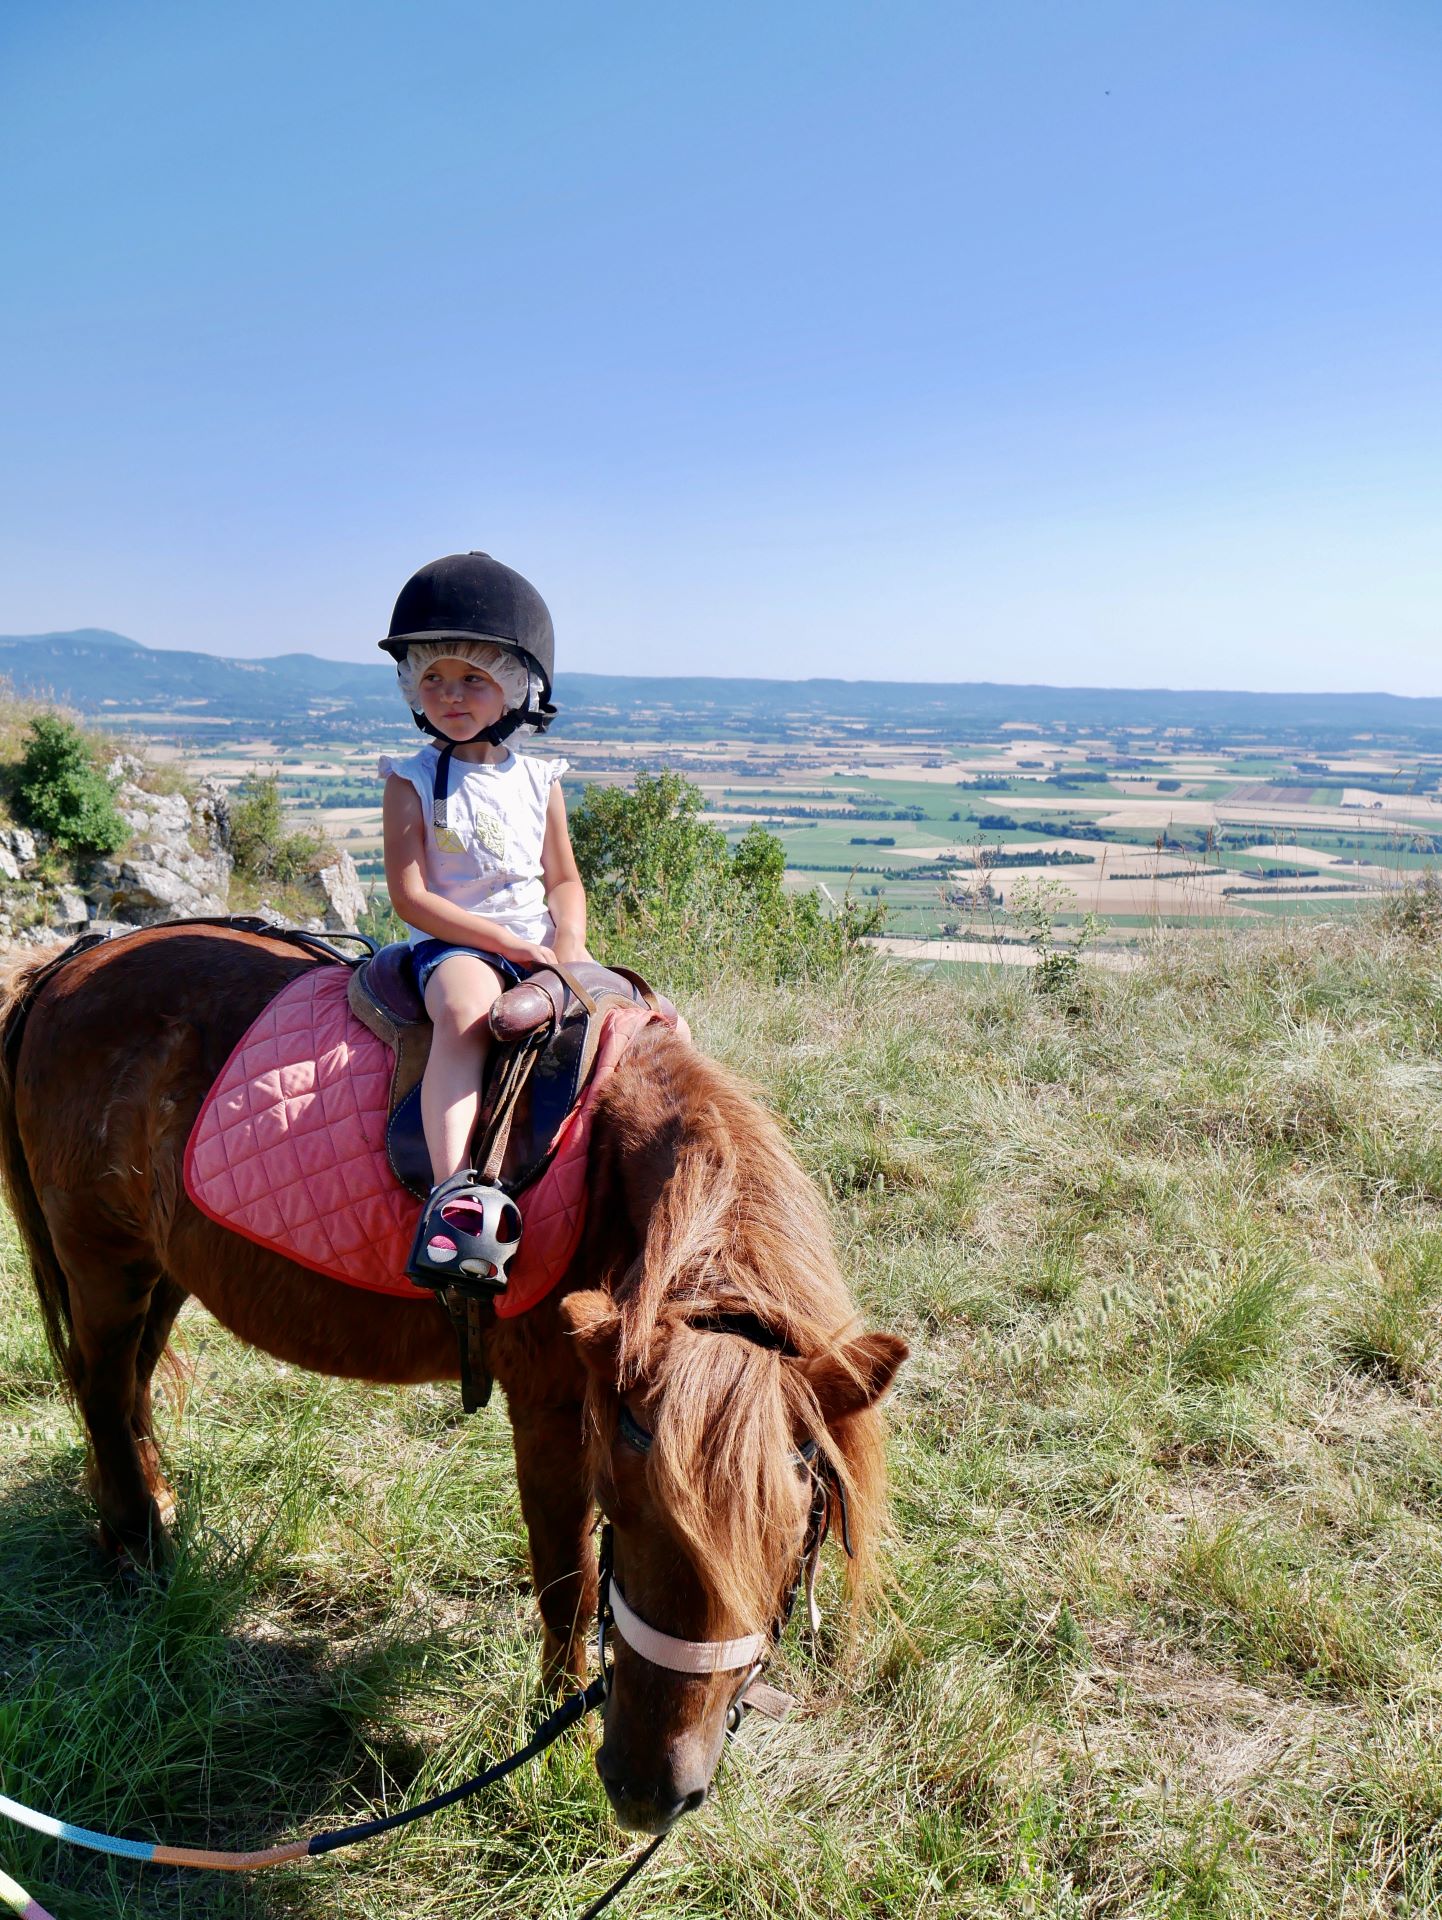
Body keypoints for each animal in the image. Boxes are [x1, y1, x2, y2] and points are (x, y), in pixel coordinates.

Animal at [0, 925, 902, 1827]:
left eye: (797, 1537)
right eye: (626, 1512)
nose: (650, 1793)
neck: (607, 1178)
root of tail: (68, 965)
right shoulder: (552, 1410)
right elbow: (568, 1583)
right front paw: (558, 1729)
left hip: (163, 1268)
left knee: (131, 1389)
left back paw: (148, 1509)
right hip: (102, 1263)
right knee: (104, 1393)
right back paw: (139, 1549)